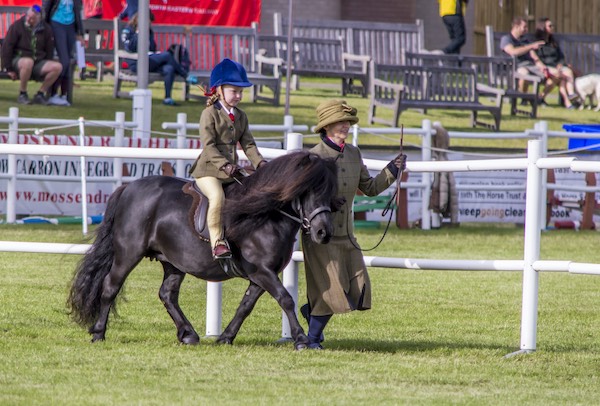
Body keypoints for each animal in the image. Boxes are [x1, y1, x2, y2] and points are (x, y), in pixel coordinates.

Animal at [68, 151, 340, 348]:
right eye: (308, 189)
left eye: (330, 190)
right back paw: (99, 333)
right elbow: (285, 299)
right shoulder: (262, 271)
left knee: (167, 294)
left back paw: (188, 334)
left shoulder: (260, 276)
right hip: (128, 254)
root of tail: (129, 188)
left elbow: (246, 306)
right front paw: (301, 339)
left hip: (173, 262)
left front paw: (226, 337)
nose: (323, 233)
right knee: (110, 287)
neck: (266, 214)